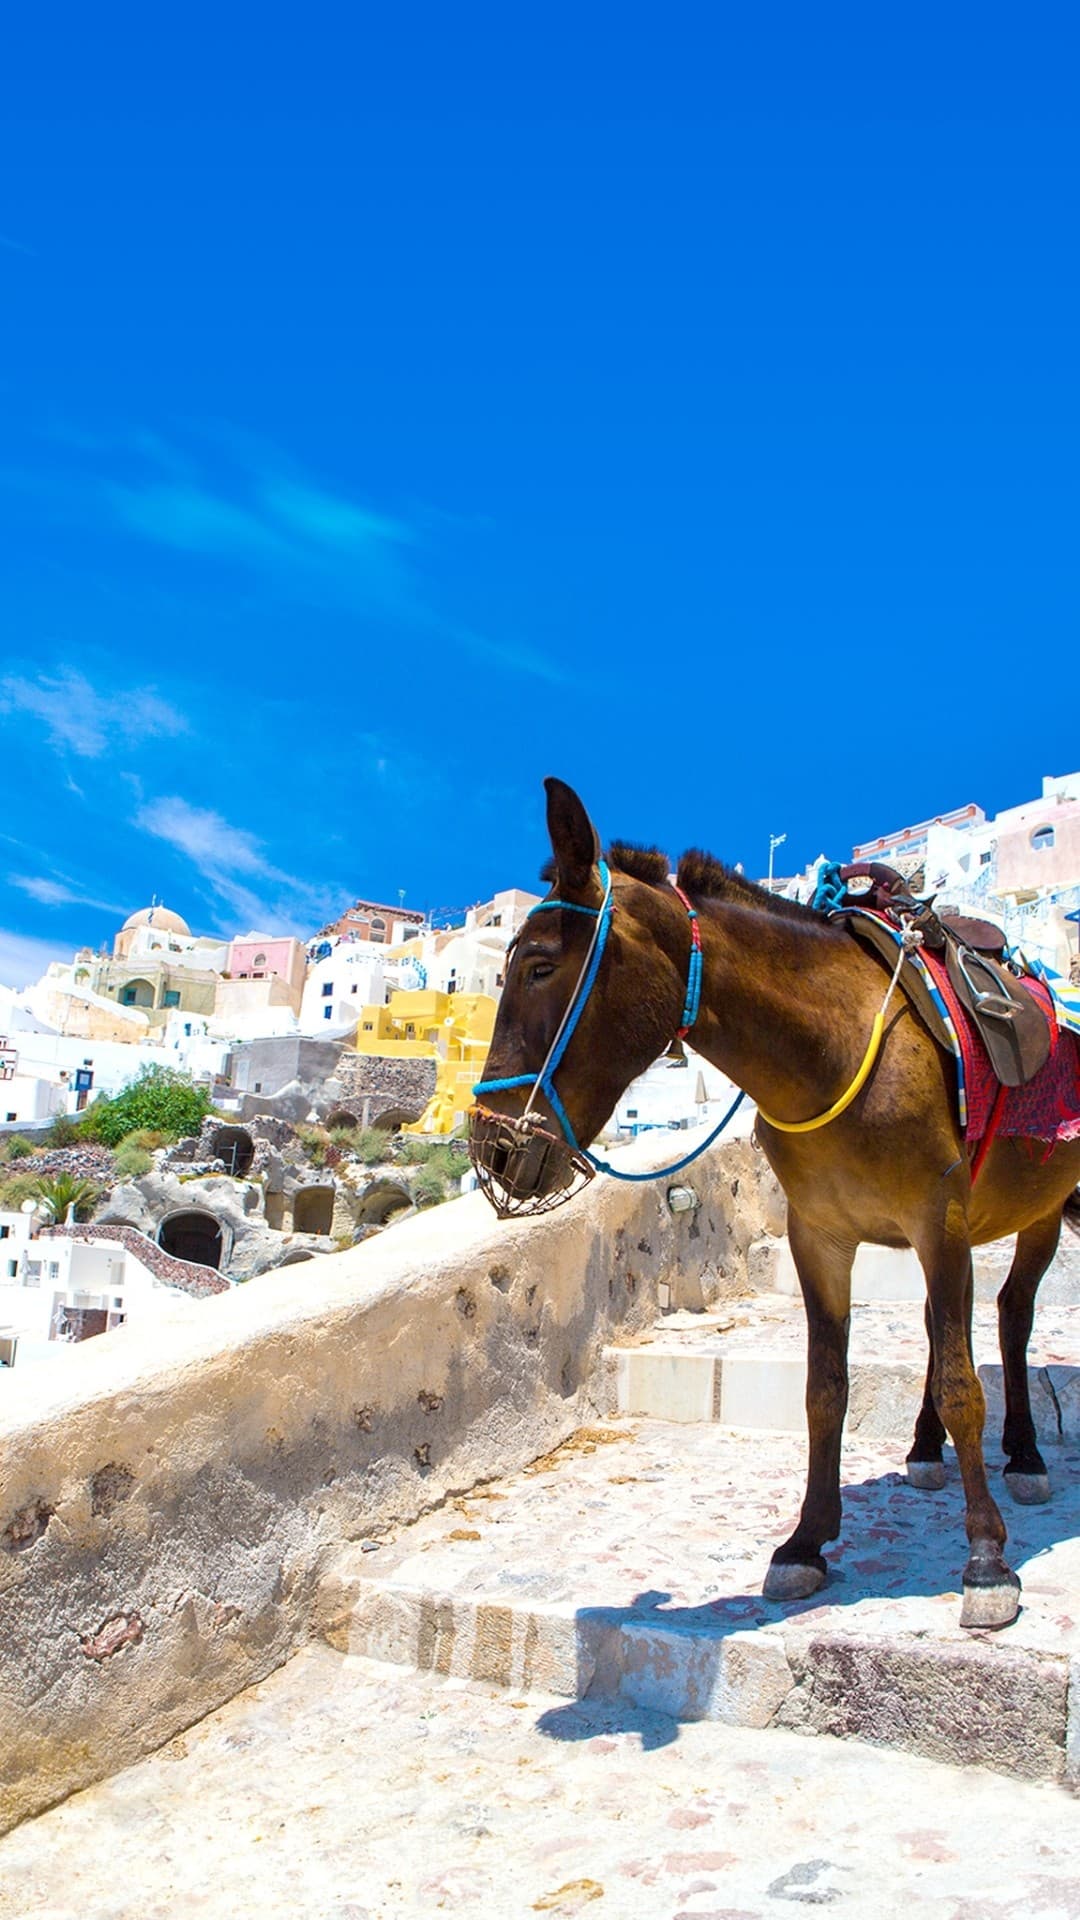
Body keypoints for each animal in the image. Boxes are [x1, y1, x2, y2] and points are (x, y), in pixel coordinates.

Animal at [469, 777, 1080, 1630]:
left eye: (537, 966)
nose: (491, 1150)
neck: (833, 1048)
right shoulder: (820, 1239)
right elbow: (825, 1391)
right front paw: (805, 1543)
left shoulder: (940, 1222)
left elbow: (965, 1387)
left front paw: (987, 1559)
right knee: (943, 1325)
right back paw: (924, 1449)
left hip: (1039, 1211)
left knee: (1012, 1316)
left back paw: (1022, 1453)